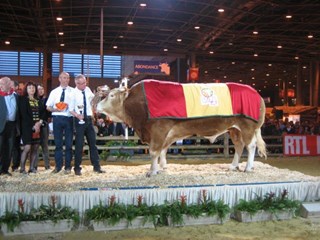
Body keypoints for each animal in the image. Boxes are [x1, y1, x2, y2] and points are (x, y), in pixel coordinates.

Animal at [95, 79, 268, 175]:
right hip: (234, 129)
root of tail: (258, 95)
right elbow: (163, 150)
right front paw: (161, 167)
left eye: (111, 95)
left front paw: (152, 171)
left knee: (250, 146)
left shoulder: (158, 129)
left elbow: (154, 151)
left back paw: (248, 167)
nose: (96, 106)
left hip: (247, 126)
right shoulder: (167, 132)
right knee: (239, 146)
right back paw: (233, 166)